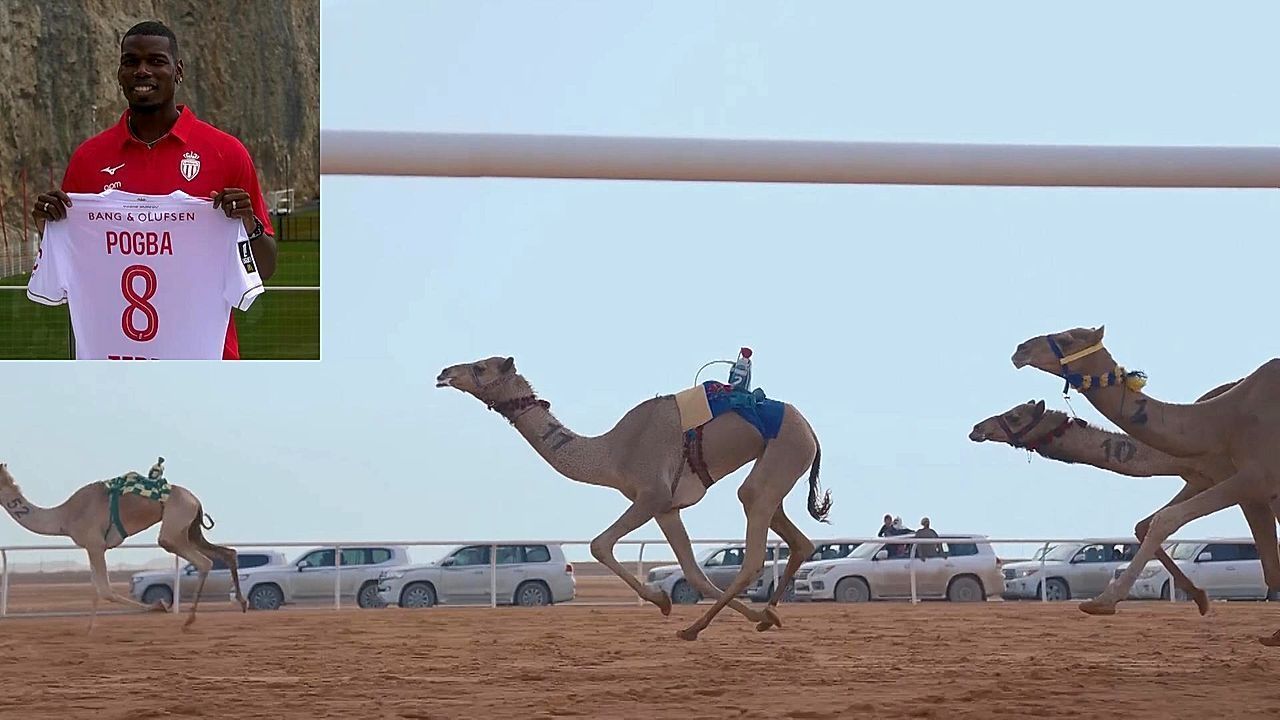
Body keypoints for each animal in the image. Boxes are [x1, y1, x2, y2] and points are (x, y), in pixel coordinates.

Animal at [0, 458, 246, 631]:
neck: (65, 517)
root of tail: (196, 500)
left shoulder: (95, 544)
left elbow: (105, 589)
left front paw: (160, 606)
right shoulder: (92, 547)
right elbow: (96, 587)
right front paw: (89, 628)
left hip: (175, 526)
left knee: (202, 561)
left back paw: (189, 620)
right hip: (191, 528)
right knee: (227, 552)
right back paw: (241, 603)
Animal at [437, 356, 831, 640]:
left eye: (480, 367)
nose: (444, 373)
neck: (611, 453)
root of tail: (812, 431)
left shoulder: (651, 495)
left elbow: (599, 545)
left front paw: (662, 601)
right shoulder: (667, 508)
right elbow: (694, 573)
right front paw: (756, 615)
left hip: (787, 447)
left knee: (752, 536)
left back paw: (695, 628)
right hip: (781, 467)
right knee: (797, 539)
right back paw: (768, 614)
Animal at [970, 399, 1280, 615]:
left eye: (1015, 415)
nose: (977, 429)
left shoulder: (1244, 482)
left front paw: (1103, 602)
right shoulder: (1202, 479)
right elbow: (1145, 525)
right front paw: (1200, 597)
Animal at [1012, 326, 1280, 646]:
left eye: (1067, 339)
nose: (1020, 350)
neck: (1220, 420)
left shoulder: (1256, 476)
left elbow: (1166, 518)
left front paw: (1101, 602)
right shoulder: (1241, 484)